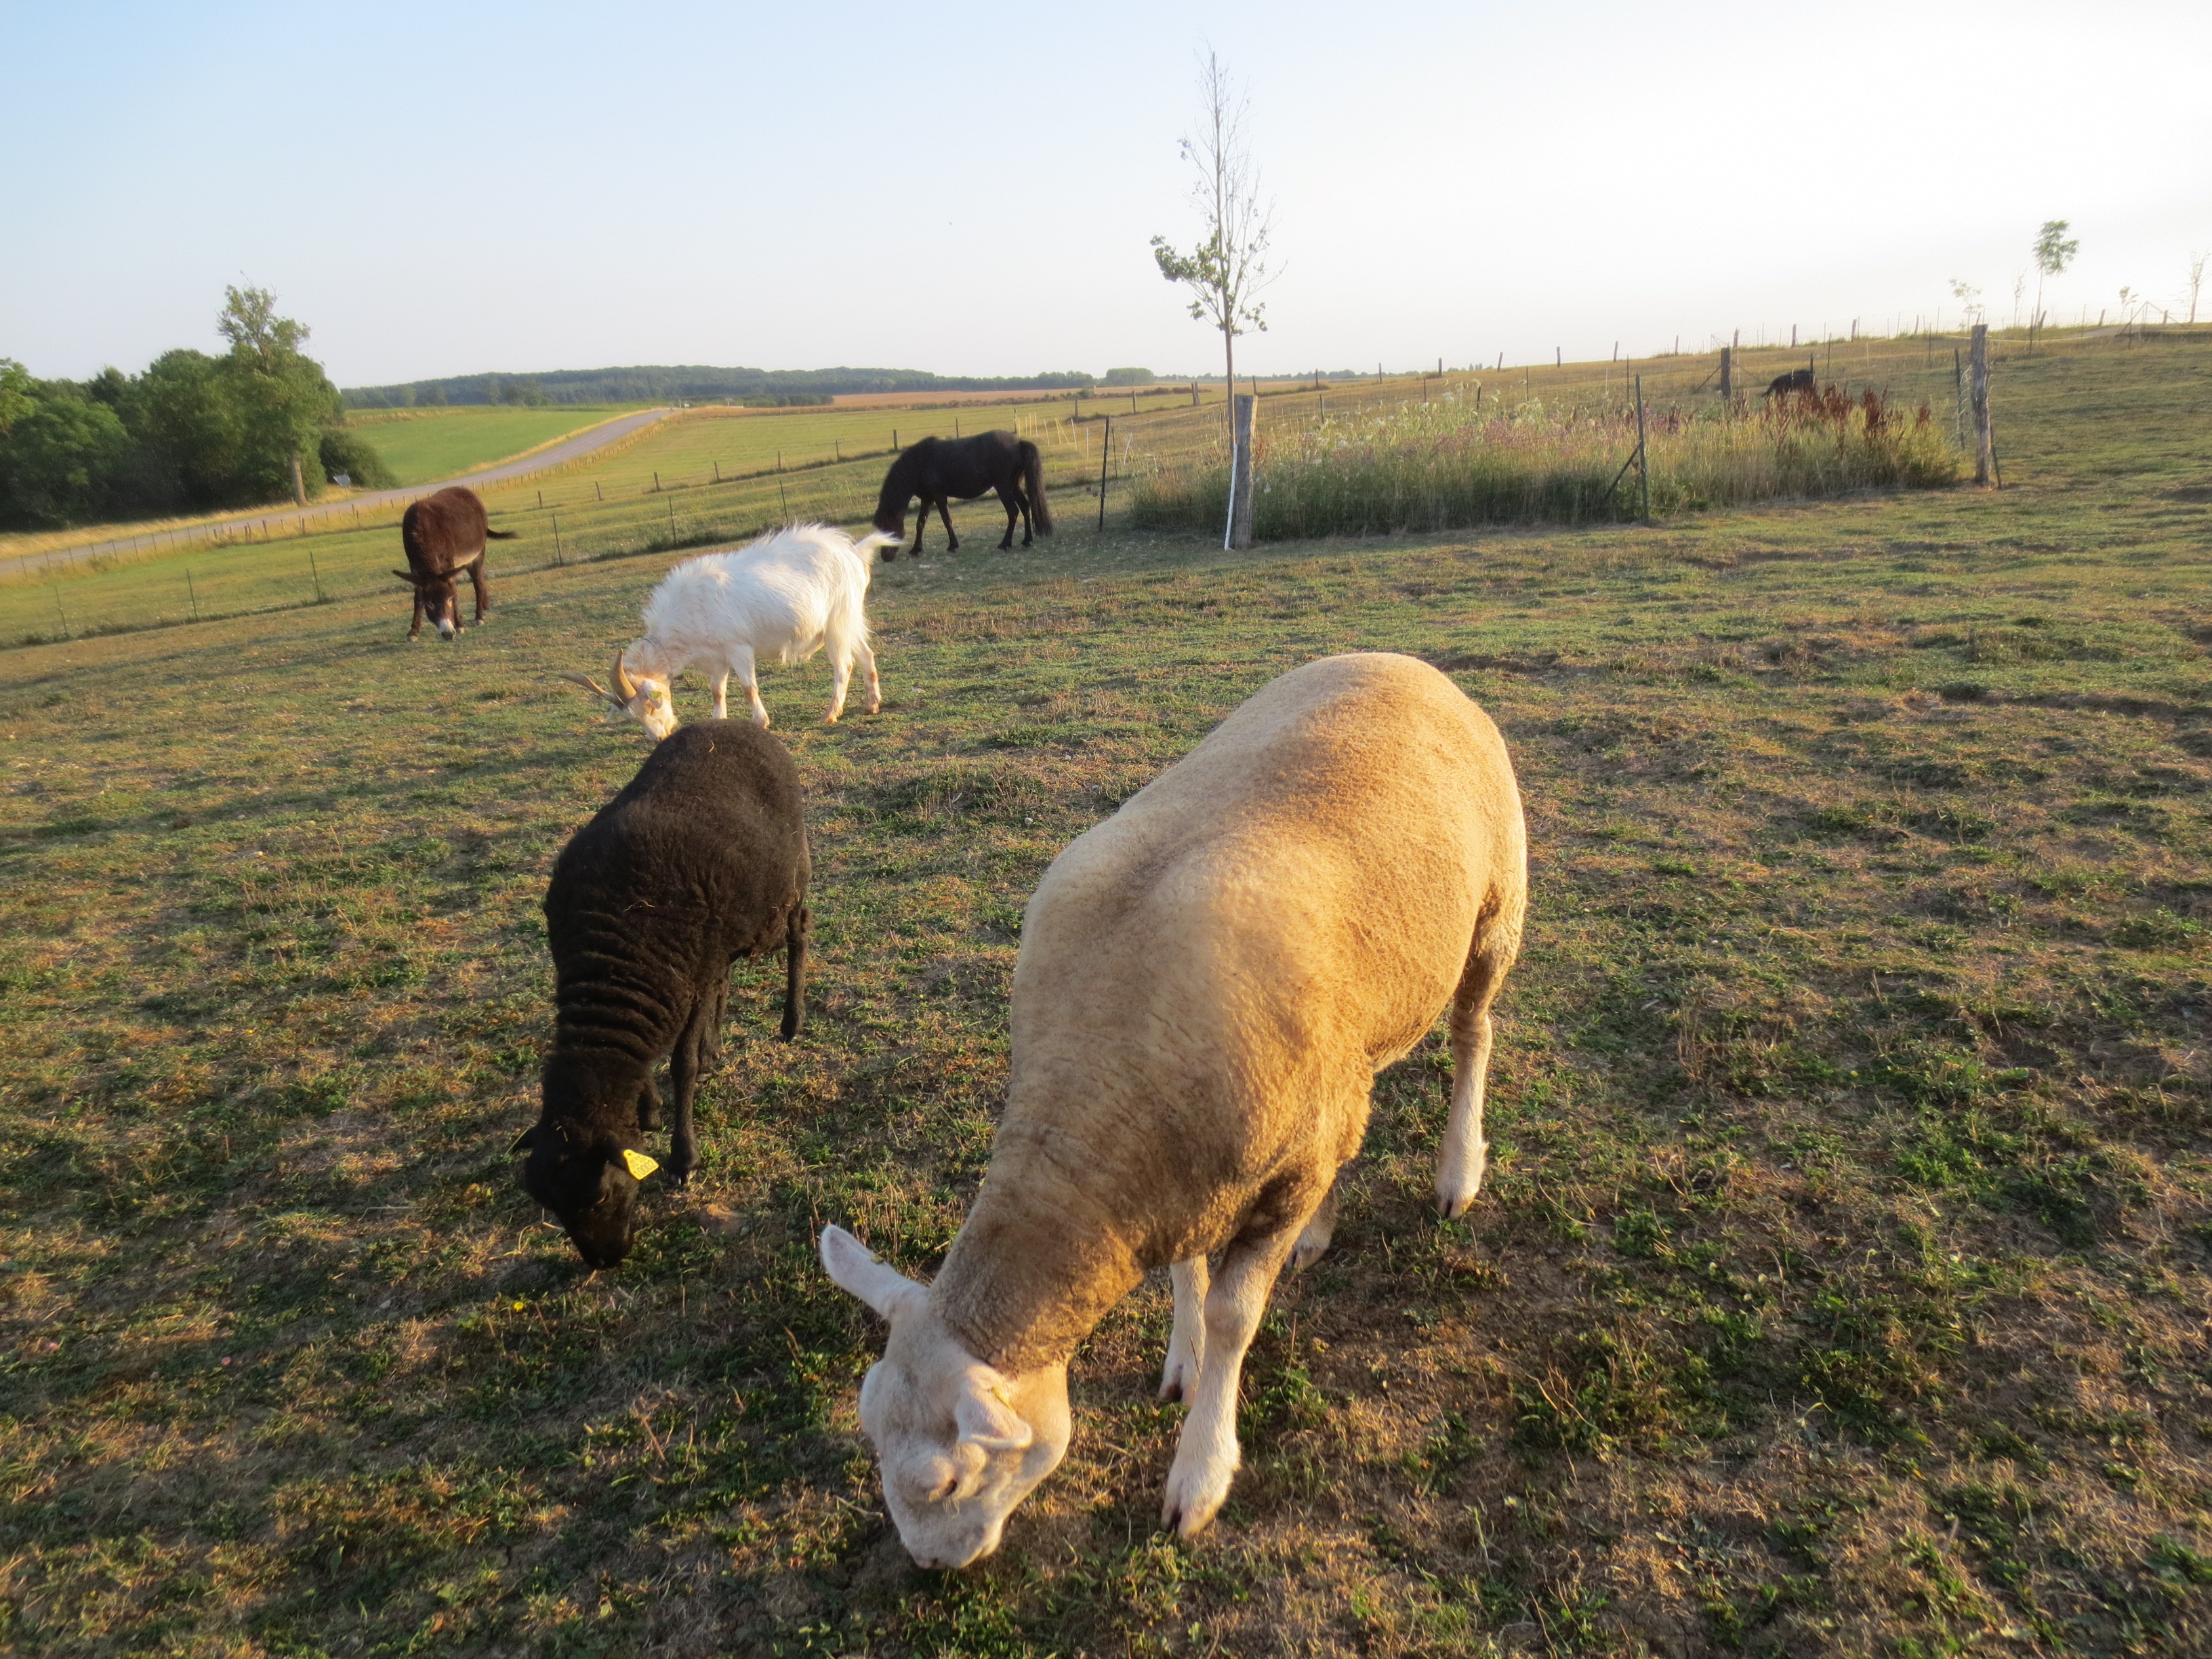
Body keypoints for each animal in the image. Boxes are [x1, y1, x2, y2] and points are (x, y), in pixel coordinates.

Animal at [517, 725, 814, 1274]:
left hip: (790, 885)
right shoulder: (684, 973)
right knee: (725, 978)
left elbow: (681, 1066)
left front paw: (683, 1159)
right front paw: (649, 1110)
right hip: (721, 937)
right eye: (550, 1205)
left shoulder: (686, 980)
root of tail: (738, 727)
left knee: (798, 936)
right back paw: (717, 1046)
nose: (605, 1262)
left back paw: (791, 1022)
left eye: (597, 1197)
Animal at [562, 526, 898, 734]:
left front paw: (761, 721)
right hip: (850, 620)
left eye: (650, 705)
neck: (688, 611)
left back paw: (830, 714)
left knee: (845, 665)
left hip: (836, 623)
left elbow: (749, 687)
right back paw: (871, 705)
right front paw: (717, 720)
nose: (660, 737)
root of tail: (854, 552)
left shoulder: (738, 648)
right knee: (866, 655)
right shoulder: (716, 658)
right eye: (632, 718)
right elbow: (717, 690)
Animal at [823, 655, 1530, 1574]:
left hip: (1495, 909)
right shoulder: (1179, 1175)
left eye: (946, 1481)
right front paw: (1183, 1363)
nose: (931, 1571)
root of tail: (1399, 660)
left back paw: (1458, 1172)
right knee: (1358, 1108)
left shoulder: (1262, 1167)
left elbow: (1234, 1315)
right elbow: (1189, 1273)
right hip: (1354, 1036)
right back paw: (1324, 1225)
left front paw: (1200, 1470)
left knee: (1473, 1034)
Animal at [867, 431, 1048, 562]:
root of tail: (1019, 442)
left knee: (1013, 512)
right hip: (1014, 486)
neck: (919, 463)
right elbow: (921, 523)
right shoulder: (927, 498)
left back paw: (1004, 544)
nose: (885, 557)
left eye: (887, 529)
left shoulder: (939, 496)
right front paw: (916, 549)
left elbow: (946, 520)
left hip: (1003, 486)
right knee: (1025, 507)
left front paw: (953, 546)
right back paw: (1026, 540)